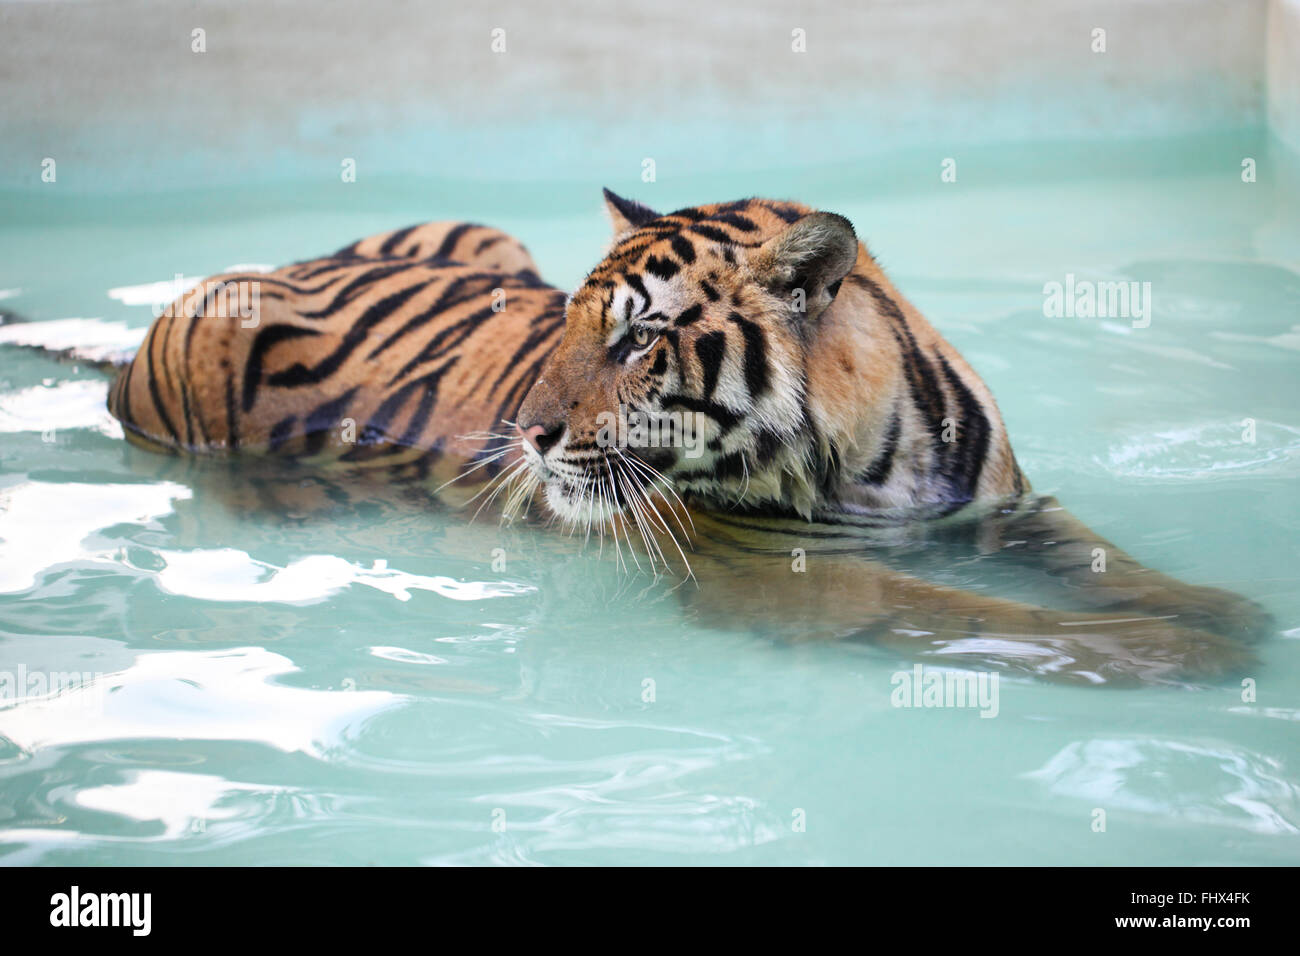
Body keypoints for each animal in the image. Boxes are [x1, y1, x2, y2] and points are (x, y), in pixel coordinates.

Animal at [91, 189, 1271, 684]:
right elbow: (980, 616)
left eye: (637, 338)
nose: (525, 434)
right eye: (569, 325)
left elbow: (1101, 560)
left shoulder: (1005, 509)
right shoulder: (792, 576)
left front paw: (1220, 610)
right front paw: (1172, 653)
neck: (873, 466)